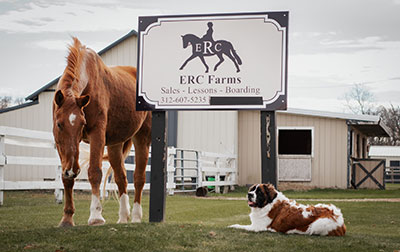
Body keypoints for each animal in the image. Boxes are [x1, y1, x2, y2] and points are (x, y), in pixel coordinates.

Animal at [52, 37, 152, 226]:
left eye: (82, 124)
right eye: (60, 124)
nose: (73, 170)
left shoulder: (96, 134)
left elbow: (94, 172)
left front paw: (96, 216)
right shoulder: (60, 143)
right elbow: (66, 179)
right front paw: (67, 218)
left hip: (142, 137)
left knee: (139, 178)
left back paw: (136, 217)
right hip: (114, 145)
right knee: (121, 178)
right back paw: (123, 217)